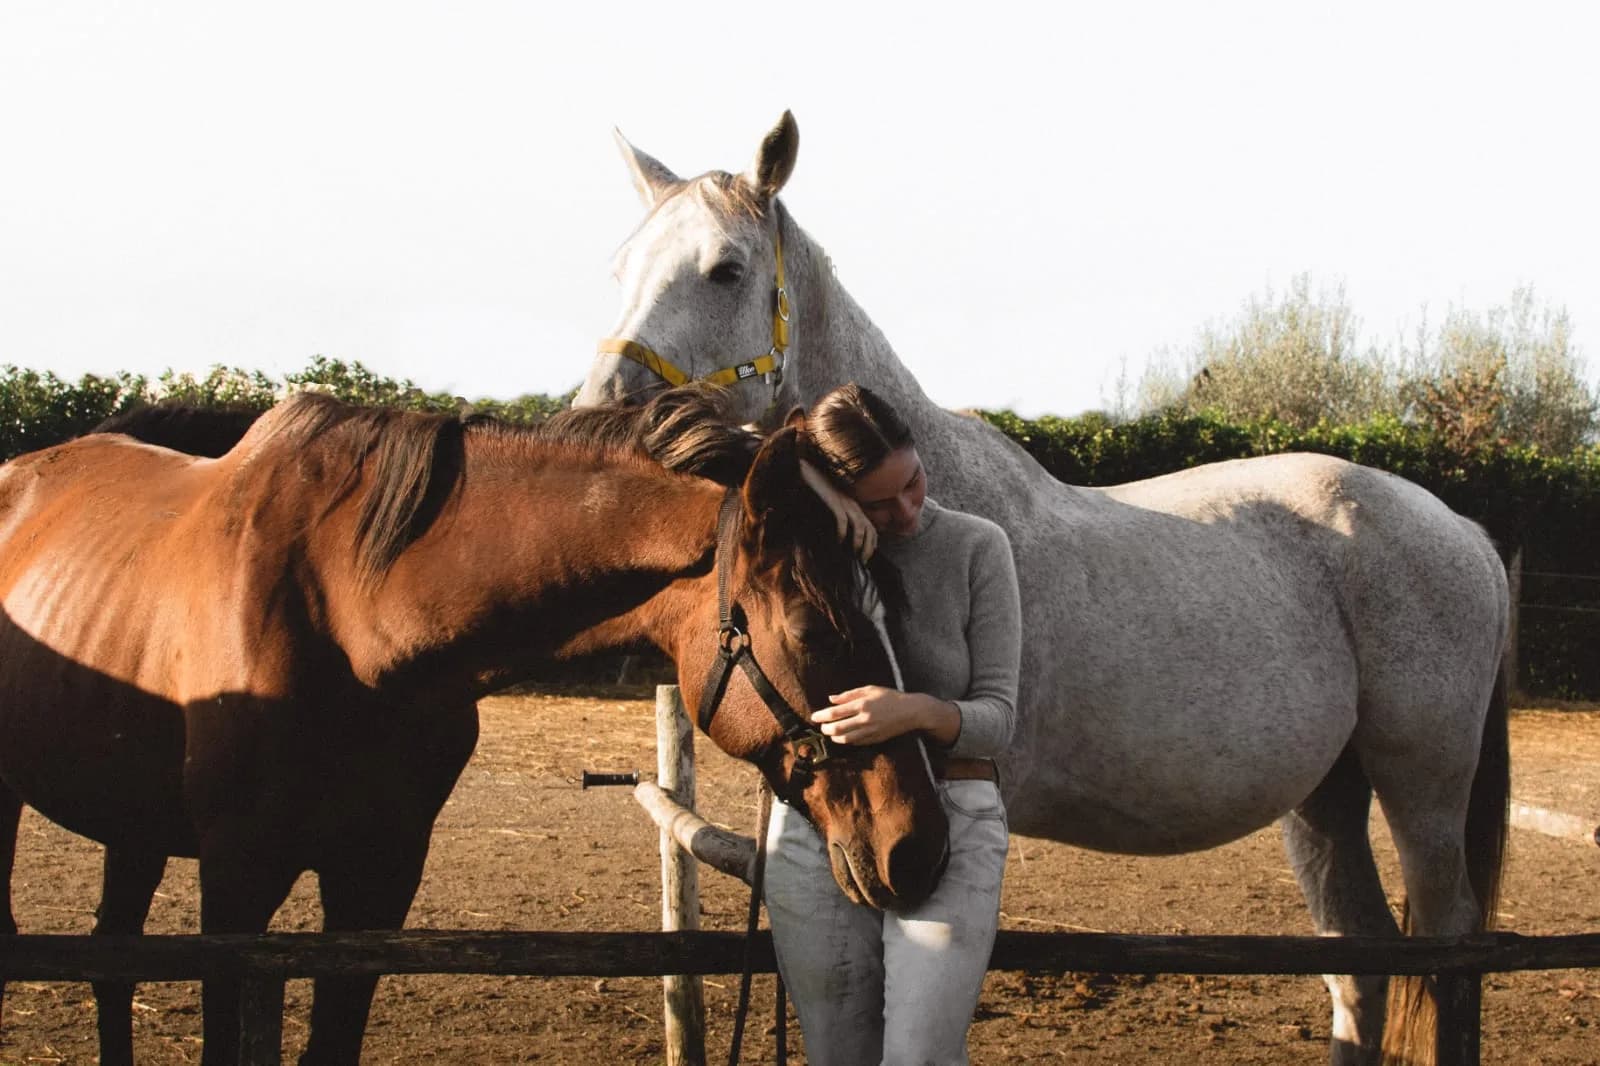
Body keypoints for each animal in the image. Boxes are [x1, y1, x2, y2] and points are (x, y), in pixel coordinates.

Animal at [0, 383, 949, 1065]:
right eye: (815, 629)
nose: (920, 846)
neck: (350, 617)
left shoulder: (380, 876)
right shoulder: (238, 879)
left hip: (135, 825)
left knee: (113, 958)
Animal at [576, 113, 1511, 1066]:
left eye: (726, 268)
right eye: (620, 268)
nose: (598, 419)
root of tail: (1461, 530)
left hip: (1425, 789)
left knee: (1447, 948)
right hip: (1325, 798)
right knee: (1360, 958)